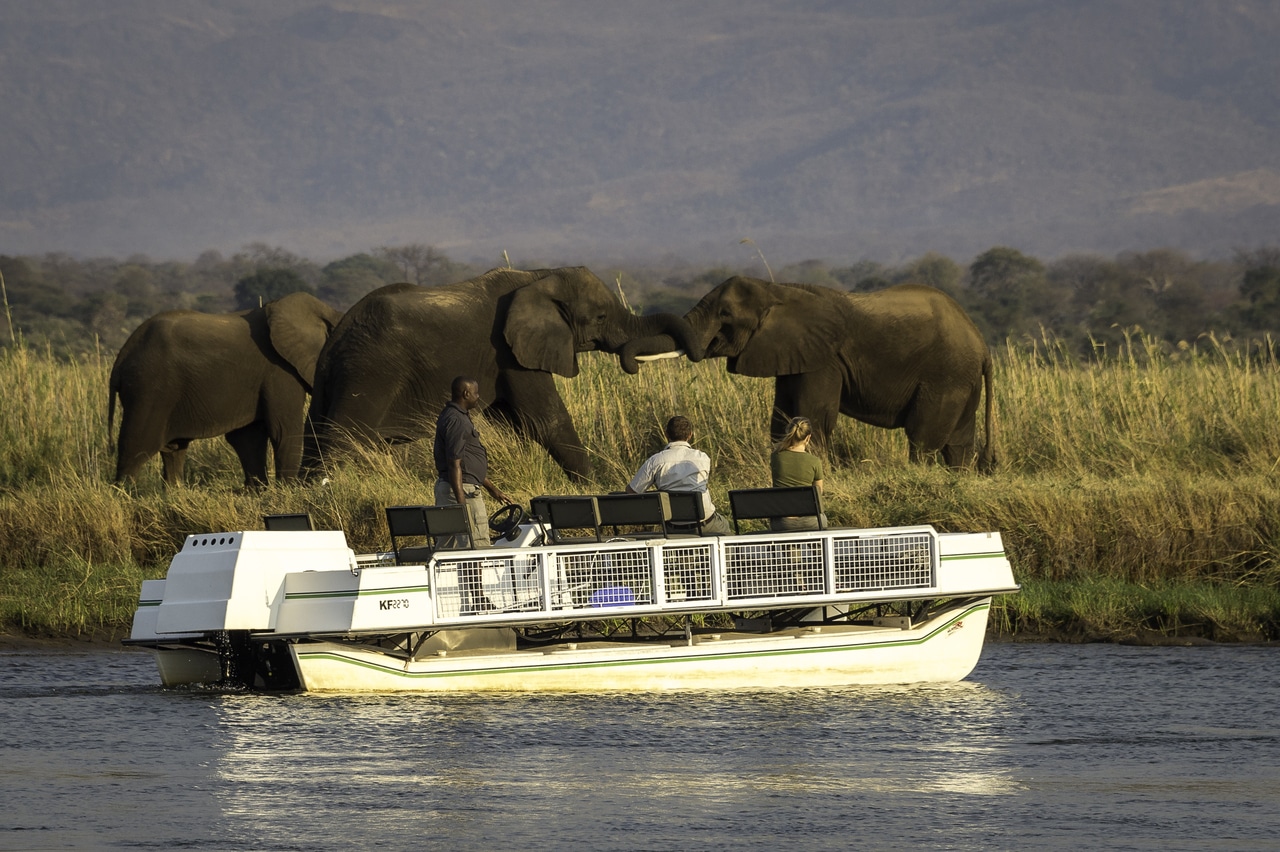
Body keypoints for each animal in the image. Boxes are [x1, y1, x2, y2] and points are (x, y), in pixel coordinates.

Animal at [108, 290, 345, 483]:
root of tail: (121, 358)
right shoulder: (279, 371)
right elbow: (283, 431)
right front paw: (288, 490)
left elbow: (248, 438)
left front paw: (258, 492)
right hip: (149, 390)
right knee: (136, 448)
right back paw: (125, 495)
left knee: (173, 449)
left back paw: (174, 493)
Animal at [299, 266, 701, 478]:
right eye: (600, 317)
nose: (630, 363)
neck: (539, 276)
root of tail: (336, 339)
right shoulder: (508, 352)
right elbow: (547, 421)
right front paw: (595, 487)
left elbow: (516, 425)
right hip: (369, 374)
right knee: (341, 443)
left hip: (334, 379)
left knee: (313, 440)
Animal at [619, 277, 988, 465]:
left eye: (724, 316)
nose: (632, 367)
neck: (779, 290)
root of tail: (982, 344)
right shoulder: (791, 353)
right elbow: (781, 417)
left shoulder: (824, 358)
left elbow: (814, 416)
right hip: (961, 380)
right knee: (959, 441)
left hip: (945, 376)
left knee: (923, 437)